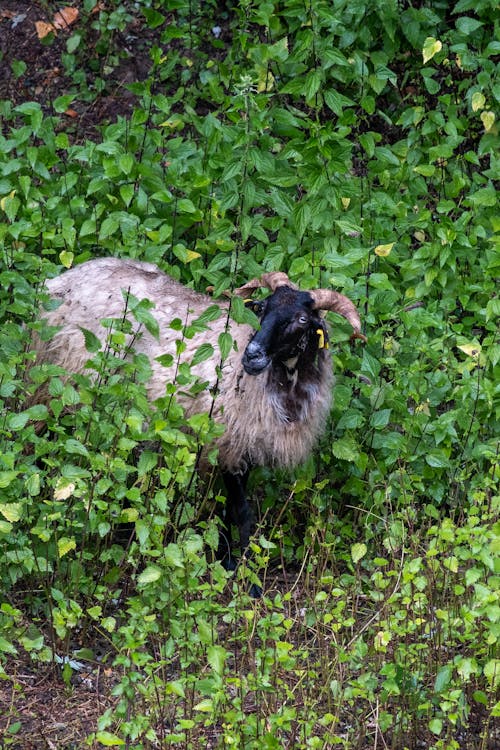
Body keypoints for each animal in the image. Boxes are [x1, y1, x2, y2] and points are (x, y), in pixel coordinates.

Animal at [32, 258, 368, 592]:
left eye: (301, 319)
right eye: (262, 307)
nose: (252, 356)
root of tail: (67, 277)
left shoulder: (240, 448)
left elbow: (228, 508)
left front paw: (228, 559)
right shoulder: (227, 443)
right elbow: (241, 511)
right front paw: (246, 577)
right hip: (61, 382)